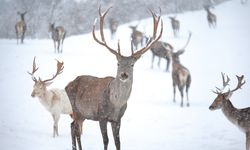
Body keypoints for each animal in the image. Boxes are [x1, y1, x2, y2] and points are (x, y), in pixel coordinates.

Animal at [64, 6, 162, 150]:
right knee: (75, 129)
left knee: (72, 127)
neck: (116, 104)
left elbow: (117, 141)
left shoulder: (117, 119)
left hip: (82, 114)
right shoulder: (101, 116)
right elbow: (106, 140)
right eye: (118, 63)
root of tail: (66, 85)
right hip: (74, 109)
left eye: (132, 64)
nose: (124, 74)